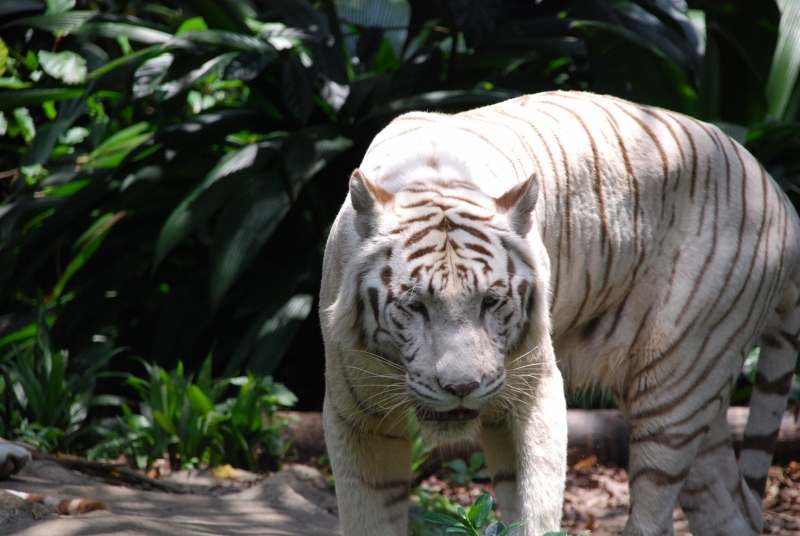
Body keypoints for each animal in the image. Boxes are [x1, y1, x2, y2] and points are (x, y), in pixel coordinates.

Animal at [318, 92, 800, 536]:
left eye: (490, 302)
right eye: (415, 306)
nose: (461, 388)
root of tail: (777, 193)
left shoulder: (534, 389)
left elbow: (535, 505)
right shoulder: (355, 416)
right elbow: (367, 514)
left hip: (676, 380)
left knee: (655, 510)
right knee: (726, 507)